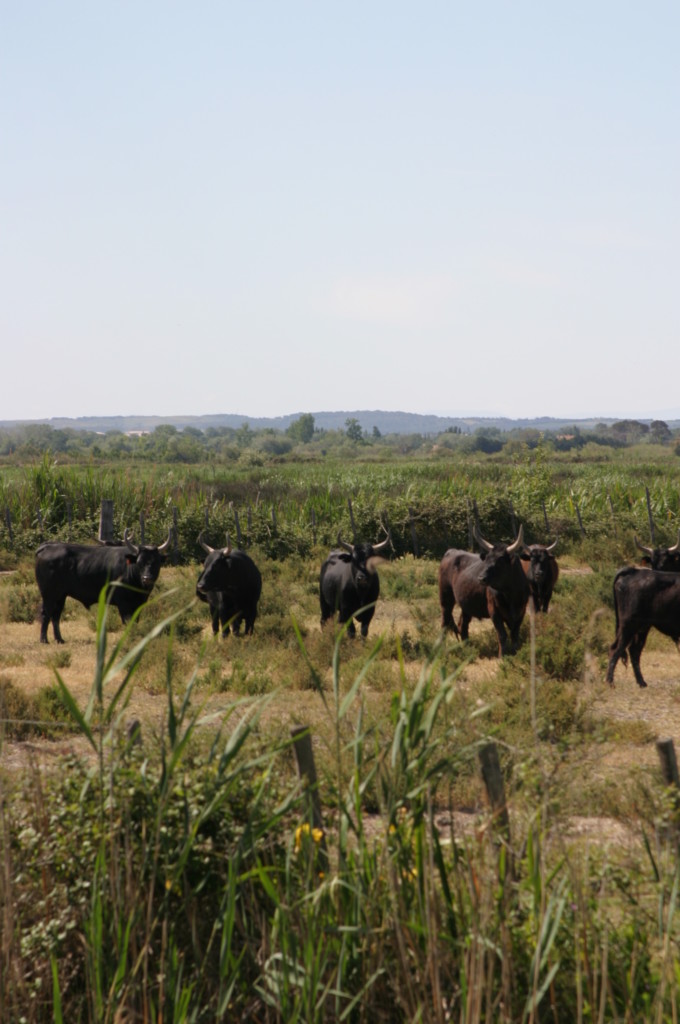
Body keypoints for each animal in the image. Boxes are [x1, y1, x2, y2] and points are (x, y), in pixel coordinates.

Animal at [34, 532, 173, 643]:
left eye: (156, 562)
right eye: (140, 562)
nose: (147, 578)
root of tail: (47, 546)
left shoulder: (138, 604)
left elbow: (135, 621)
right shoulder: (124, 604)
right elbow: (127, 622)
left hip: (60, 596)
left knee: (56, 615)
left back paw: (59, 639)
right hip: (49, 595)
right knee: (46, 613)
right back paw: (44, 640)